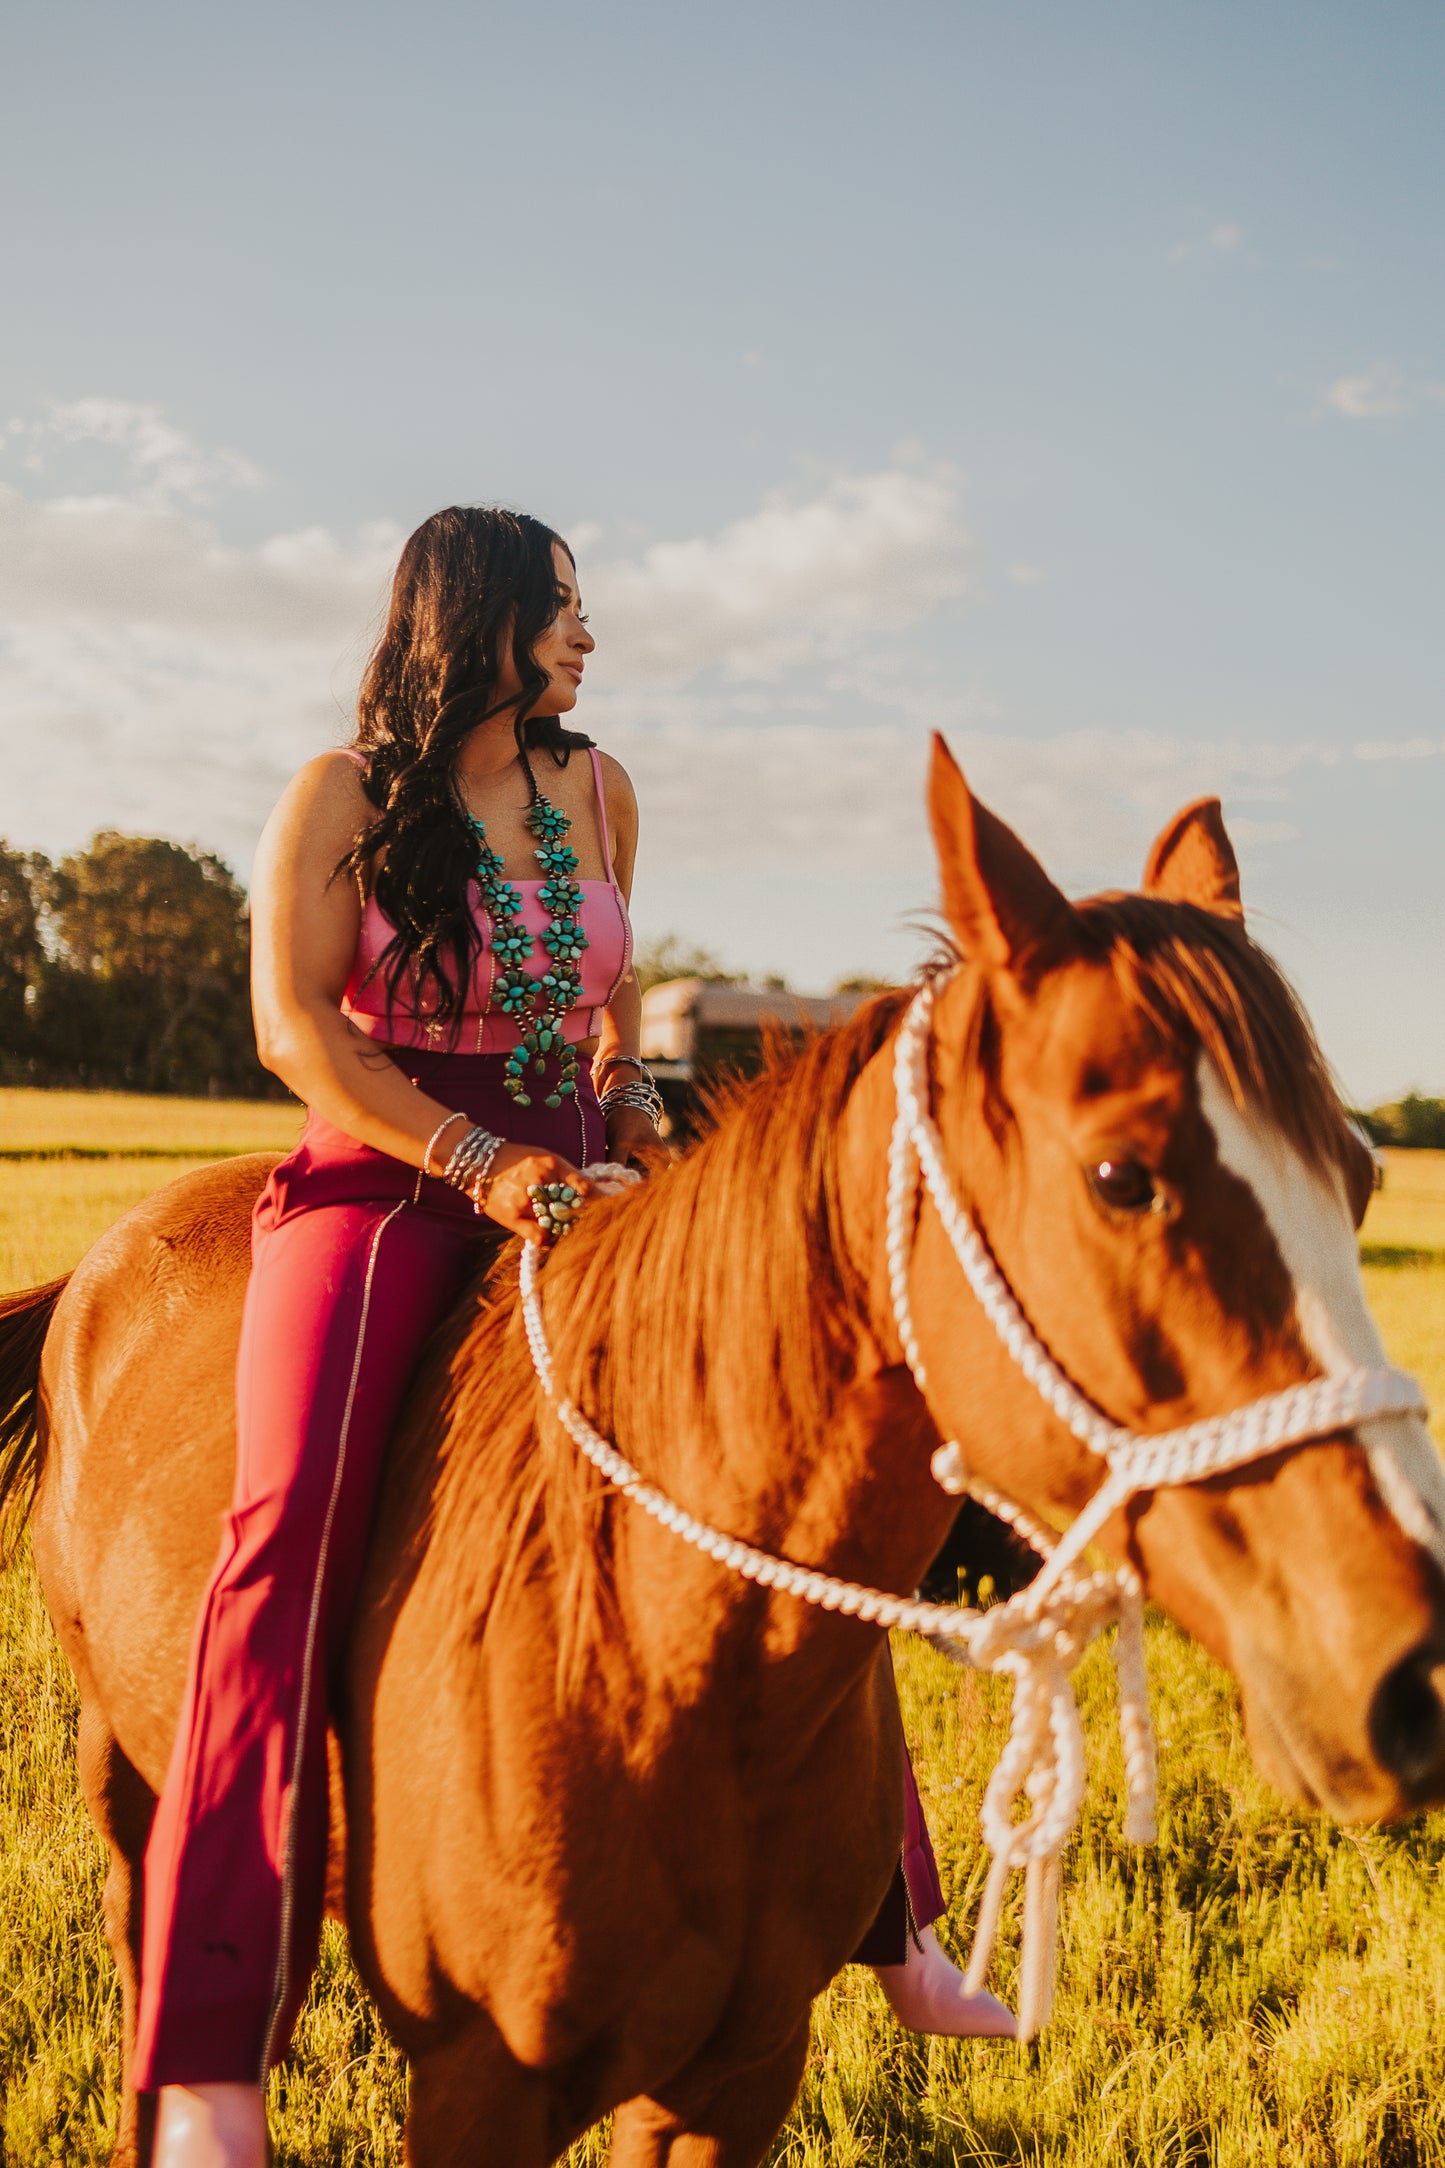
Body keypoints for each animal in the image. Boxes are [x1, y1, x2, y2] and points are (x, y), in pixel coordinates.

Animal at [2, 737, 1445, 2159]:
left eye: (1360, 1174)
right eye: (1119, 1176)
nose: (1413, 1673)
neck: (651, 1655)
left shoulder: (740, 2070)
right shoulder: (479, 2081)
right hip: (129, 1780)